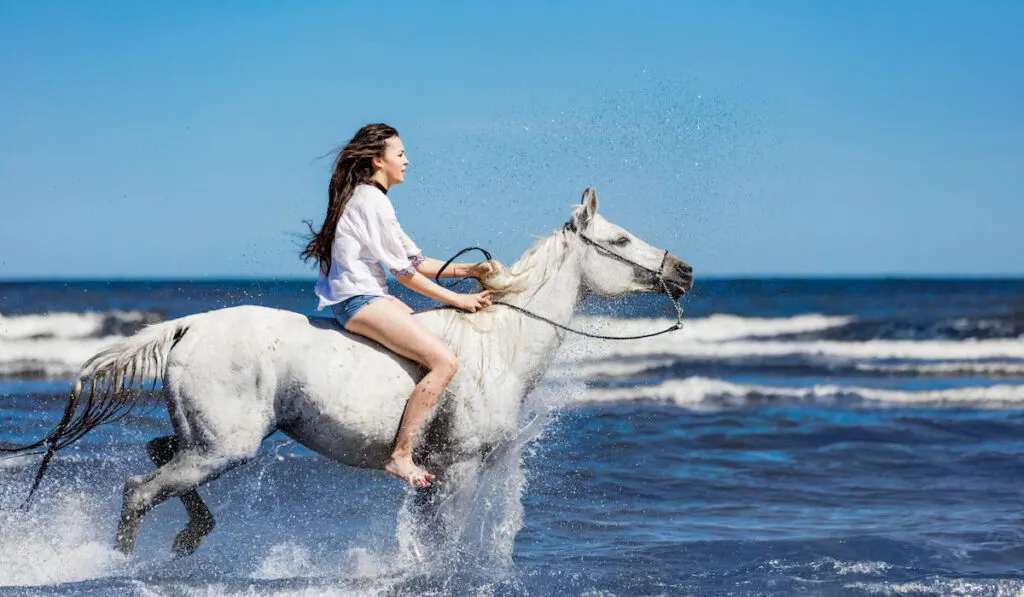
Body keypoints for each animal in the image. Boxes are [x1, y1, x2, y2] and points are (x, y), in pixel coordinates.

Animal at [12, 189, 692, 557]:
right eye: (621, 240)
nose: (684, 271)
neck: (499, 345)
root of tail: (190, 327)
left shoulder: (438, 478)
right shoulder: (459, 470)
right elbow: (446, 548)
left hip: (206, 440)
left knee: (158, 458)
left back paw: (190, 537)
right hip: (224, 446)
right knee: (138, 490)